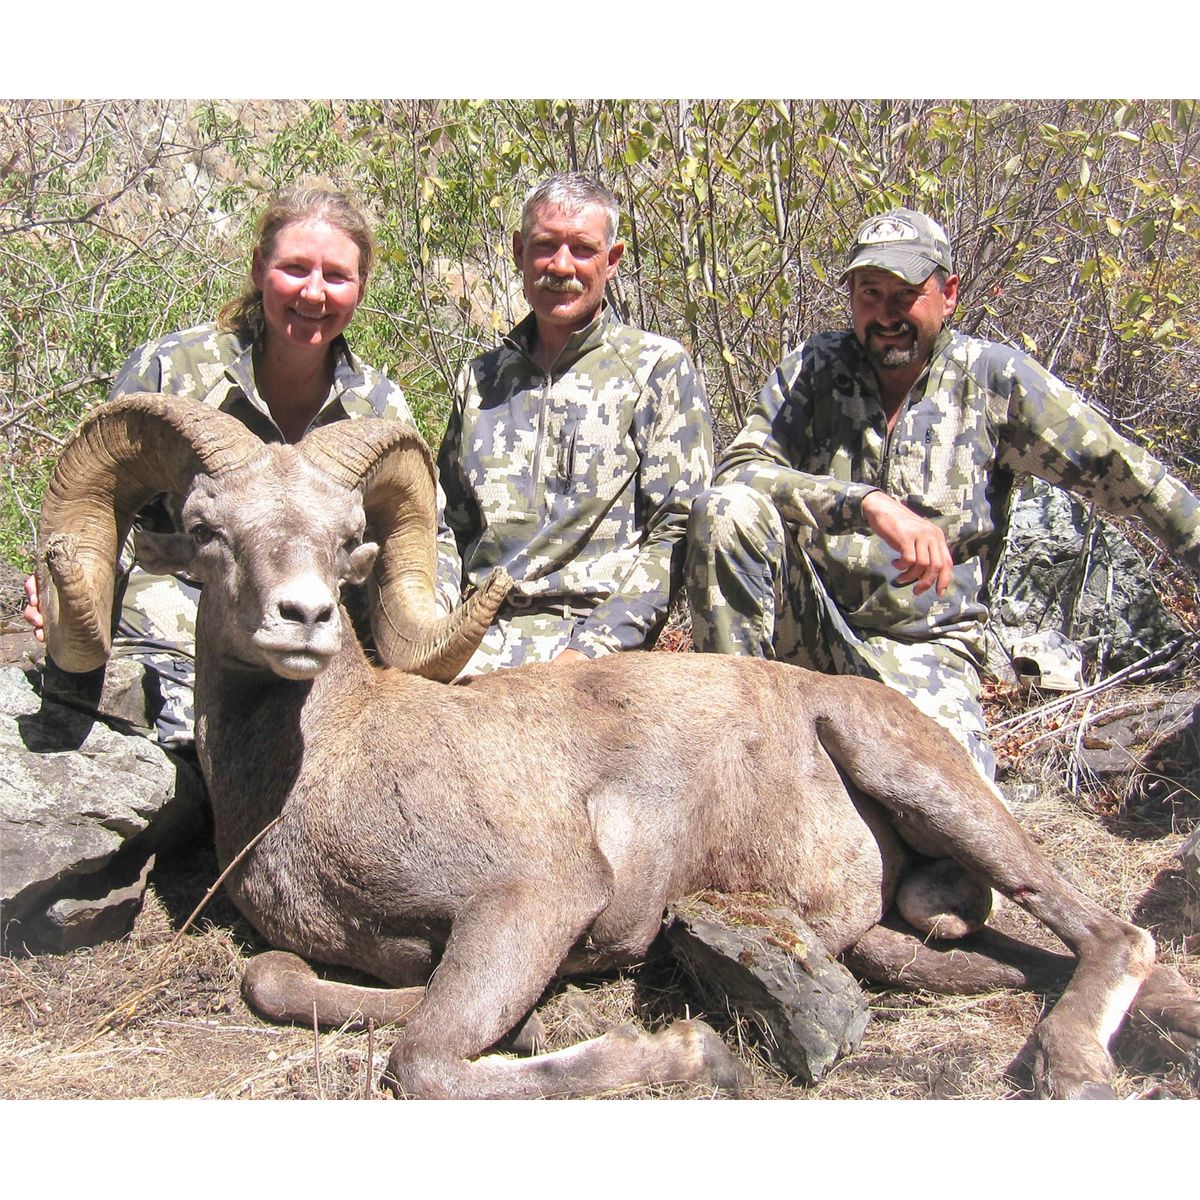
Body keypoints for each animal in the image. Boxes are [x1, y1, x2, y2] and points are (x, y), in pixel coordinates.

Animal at [37, 392, 1199, 1099]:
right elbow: (284, 984)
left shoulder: (534, 899)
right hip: (894, 934)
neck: (327, 766)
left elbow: (425, 1059)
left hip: (916, 774)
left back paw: (1072, 1066)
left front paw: (684, 1051)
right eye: (206, 530)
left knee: (1112, 935)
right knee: (1024, 959)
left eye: (346, 540)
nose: (305, 619)